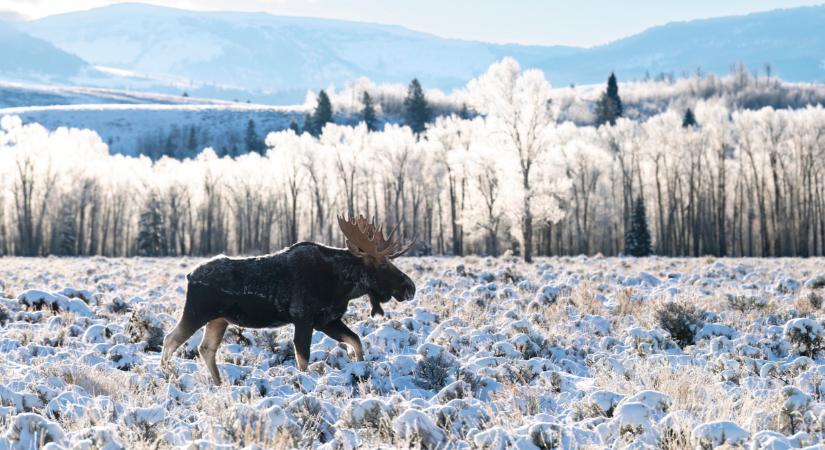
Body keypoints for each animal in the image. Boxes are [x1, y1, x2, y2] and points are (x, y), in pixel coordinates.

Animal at [160, 214, 416, 384]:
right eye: (382, 264)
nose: (410, 287)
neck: (341, 285)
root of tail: (189, 276)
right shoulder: (304, 317)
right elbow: (303, 358)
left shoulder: (327, 320)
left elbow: (356, 341)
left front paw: (361, 369)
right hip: (197, 312)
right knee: (171, 338)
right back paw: (168, 374)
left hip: (219, 319)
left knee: (206, 348)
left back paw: (219, 382)